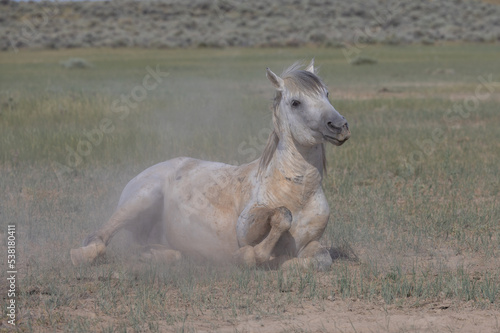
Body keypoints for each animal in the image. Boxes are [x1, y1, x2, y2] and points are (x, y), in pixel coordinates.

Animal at [71, 60, 352, 270]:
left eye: (326, 94)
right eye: (295, 102)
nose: (340, 126)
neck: (297, 192)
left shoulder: (309, 245)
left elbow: (321, 259)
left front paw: (285, 263)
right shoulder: (247, 227)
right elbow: (278, 220)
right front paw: (251, 257)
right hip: (140, 199)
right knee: (98, 238)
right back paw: (82, 255)